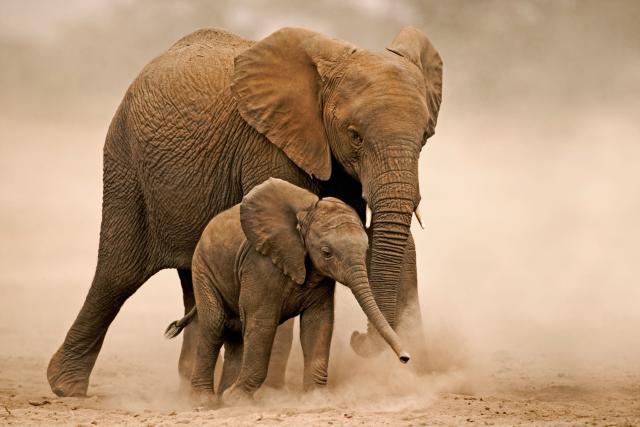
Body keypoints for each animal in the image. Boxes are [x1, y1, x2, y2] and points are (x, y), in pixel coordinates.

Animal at [164, 178, 410, 403]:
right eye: (326, 253)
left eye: (366, 249)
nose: (406, 358)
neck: (304, 218)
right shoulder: (261, 264)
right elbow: (262, 324)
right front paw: (238, 399)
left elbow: (318, 323)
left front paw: (317, 399)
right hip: (203, 268)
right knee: (215, 325)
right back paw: (205, 401)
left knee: (234, 332)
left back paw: (221, 397)